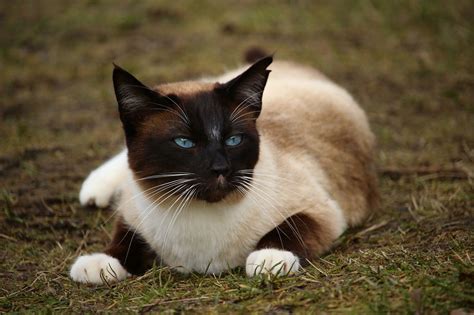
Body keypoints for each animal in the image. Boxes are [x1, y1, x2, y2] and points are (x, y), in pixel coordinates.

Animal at [68, 53, 378, 286]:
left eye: (233, 140)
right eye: (184, 142)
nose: (220, 168)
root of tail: (303, 67)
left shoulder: (322, 210)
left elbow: (289, 229)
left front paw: (268, 259)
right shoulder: (132, 212)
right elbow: (126, 240)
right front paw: (99, 264)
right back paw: (93, 192)